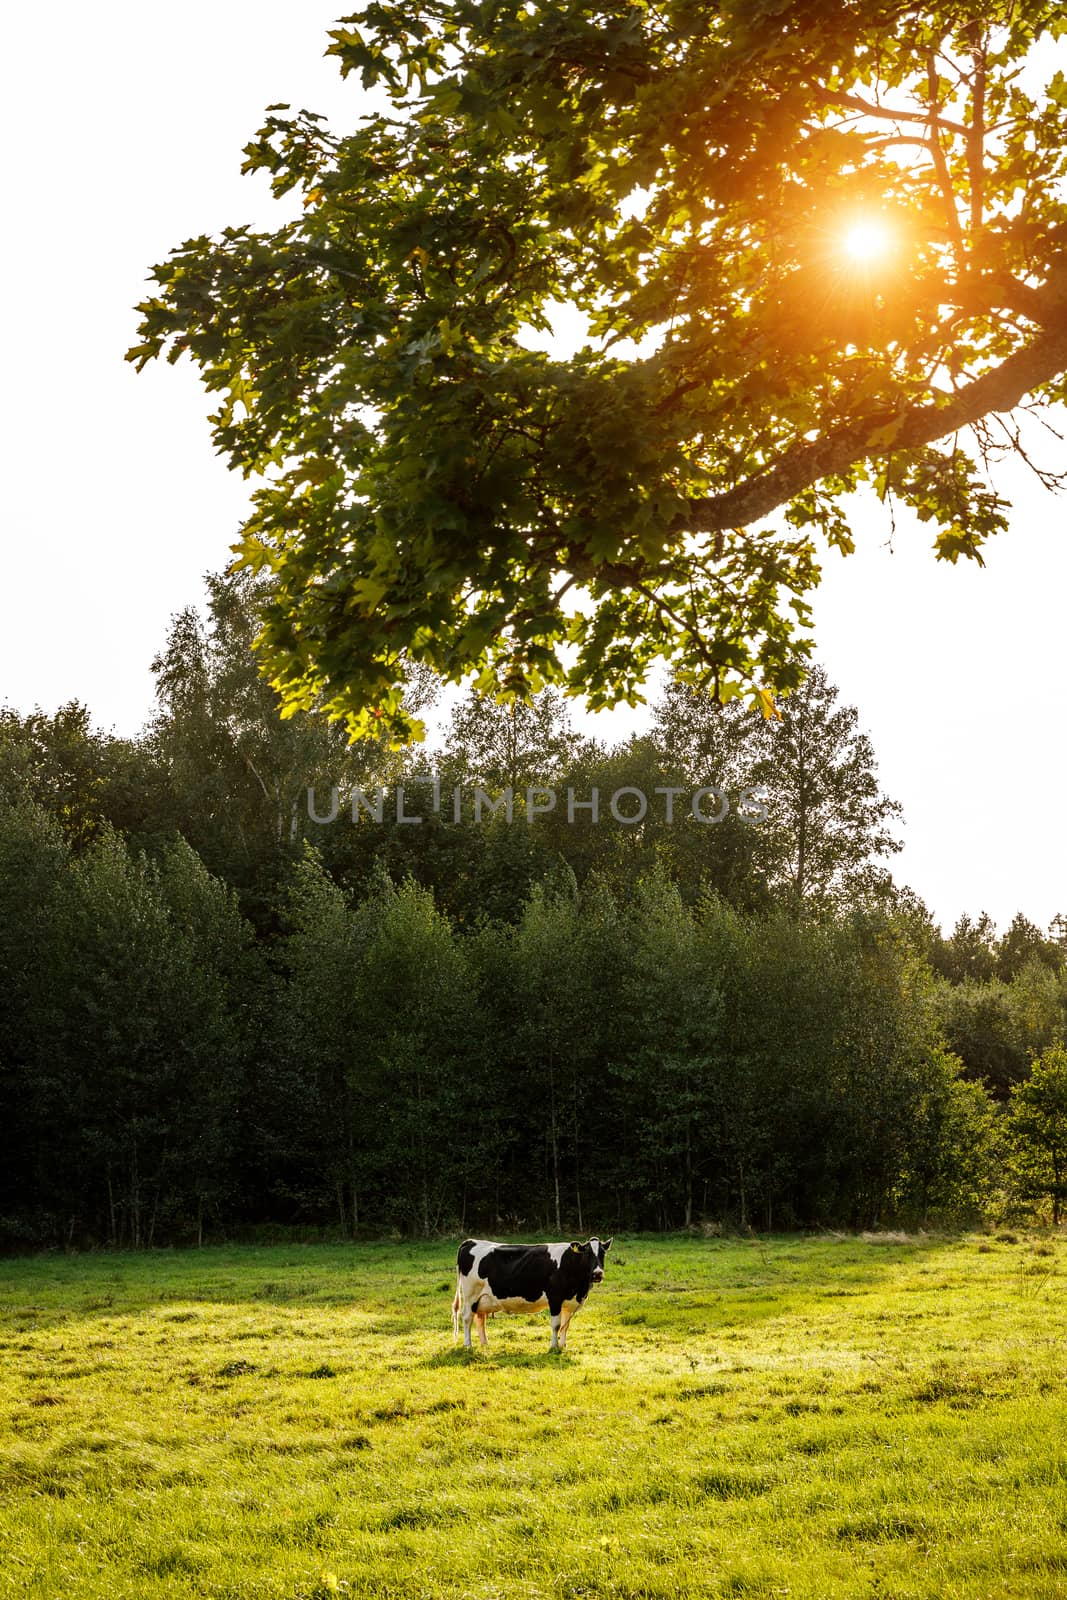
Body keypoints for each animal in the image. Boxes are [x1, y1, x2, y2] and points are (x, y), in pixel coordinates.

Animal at [454, 1235, 617, 1350]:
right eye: (587, 1254)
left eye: (602, 1253)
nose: (597, 1274)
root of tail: (470, 1241)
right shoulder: (555, 1298)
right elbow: (556, 1324)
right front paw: (554, 1347)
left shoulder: (568, 1302)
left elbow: (566, 1325)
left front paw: (563, 1346)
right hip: (470, 1295)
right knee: (467, 1317)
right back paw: (468, 1345)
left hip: (482, 1299)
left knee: (480, 1318)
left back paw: (485, 1343)